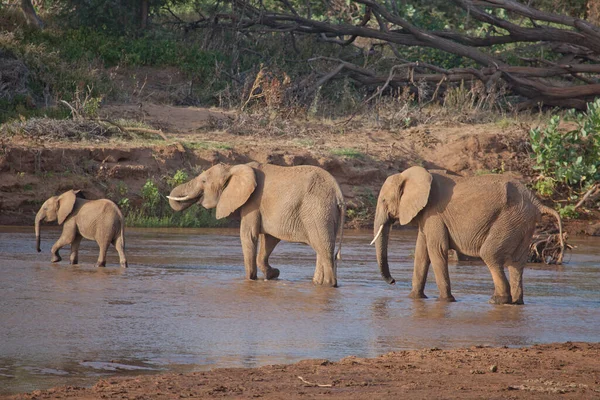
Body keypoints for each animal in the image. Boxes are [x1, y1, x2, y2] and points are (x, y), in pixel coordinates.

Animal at [169, 161, 346, 286]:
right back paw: (317, 283)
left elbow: (248, 236)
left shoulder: (252, 202)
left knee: (323, 249)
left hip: (317, 212)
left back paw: (329, 284)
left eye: (204, 181)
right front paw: (273, 274)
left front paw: (250, 280)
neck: (234, 168)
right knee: (322, 249)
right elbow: (269, 239)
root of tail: (338, 194)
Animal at [370, 167, 564, 304]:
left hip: (510, 220)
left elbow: (436, 250)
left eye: (384, 201)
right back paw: (516, 302)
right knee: (517, 262)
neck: (410, 175)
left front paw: (445, 301)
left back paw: (498, 300)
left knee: (490, 254)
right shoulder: (427, 215)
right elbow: (421, 253)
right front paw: (414, 299)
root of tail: (536, 202)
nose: (393, 281)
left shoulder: (434, 213)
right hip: (522, 224)